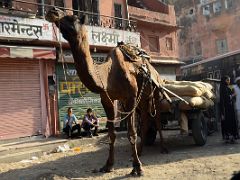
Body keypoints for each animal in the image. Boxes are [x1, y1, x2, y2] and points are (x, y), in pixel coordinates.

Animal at [45, 8, 167, 176]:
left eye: (72, 17)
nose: (52, 11)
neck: (107, 74)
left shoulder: (130, 98)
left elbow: (131, 133)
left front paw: (137, 168)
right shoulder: (107, 100)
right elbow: (112, 134)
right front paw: (108, 165)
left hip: (155, 92)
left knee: (157, 119)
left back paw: (163, 149)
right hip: (142, 98)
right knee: (146, 119)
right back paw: (140, 151)